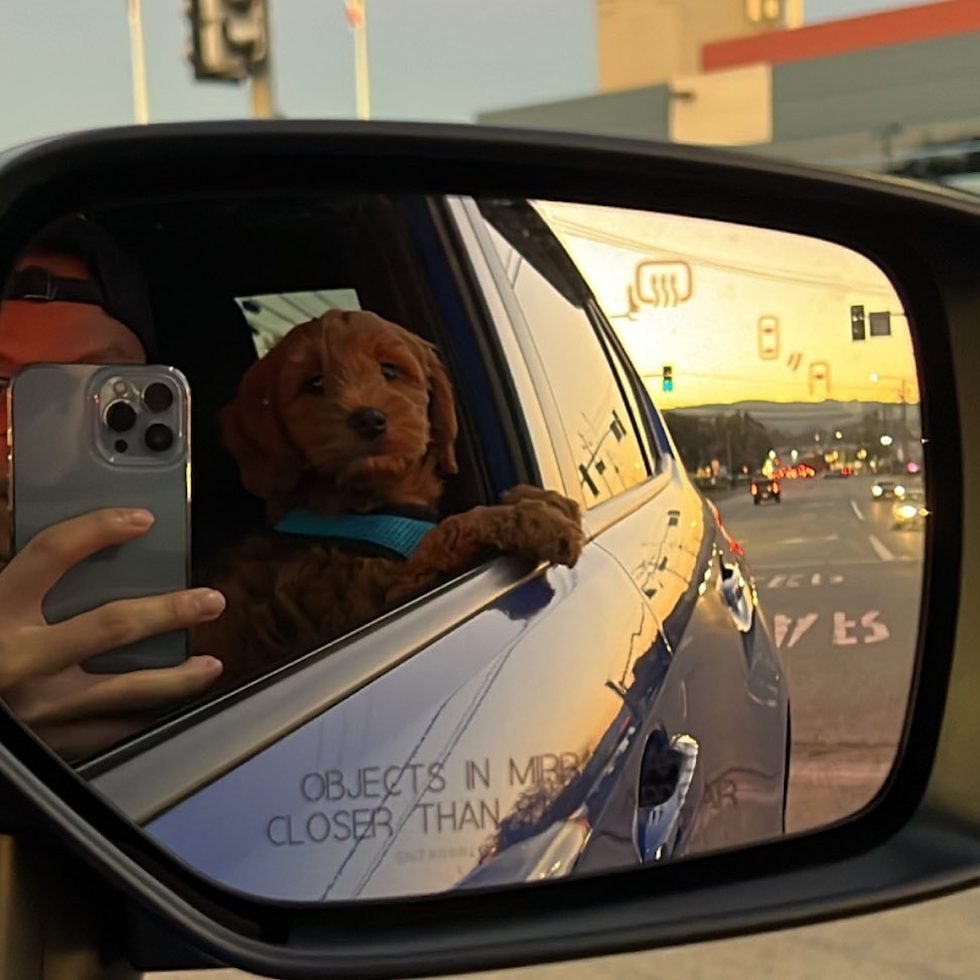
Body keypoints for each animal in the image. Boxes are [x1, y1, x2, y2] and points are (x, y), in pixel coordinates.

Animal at [195, 310, 584, 684]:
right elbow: (448, 529)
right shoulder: (381, 595)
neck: (368, 508)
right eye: (314, 384)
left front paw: (542, 499)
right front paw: (538, 520)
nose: (368, 419)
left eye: (389, 370)